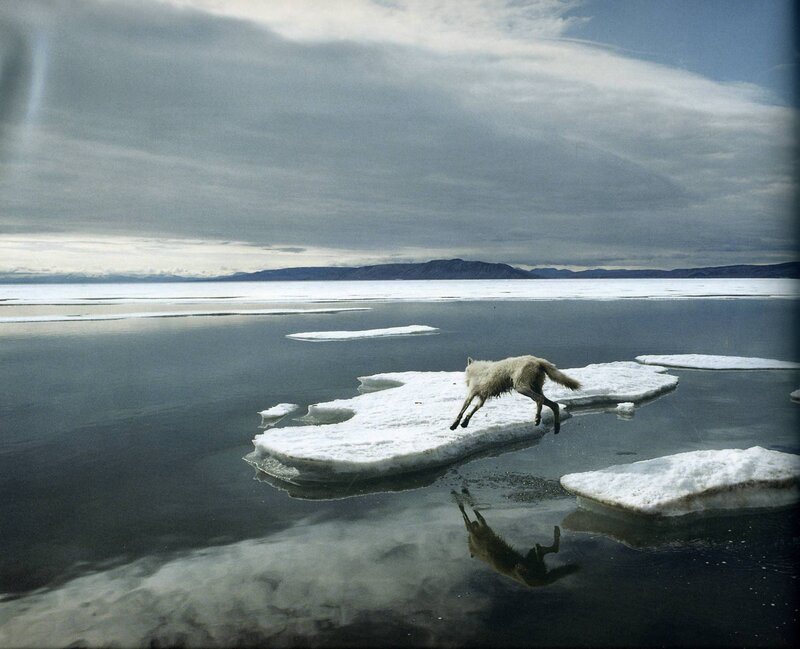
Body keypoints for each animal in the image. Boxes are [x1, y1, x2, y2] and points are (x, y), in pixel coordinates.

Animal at [450, 355, 581, 433]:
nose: (465, 380)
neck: (475, 370)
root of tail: (537, 360)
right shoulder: (482, 398)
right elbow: (472, 411)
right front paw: (465, 423)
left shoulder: (471, 394)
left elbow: (462, 411)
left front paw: (454, 425)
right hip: (535, 387)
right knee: (554, 405)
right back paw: (556, 427)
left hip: (521, 387)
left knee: (540, 400)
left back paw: (537, 419)